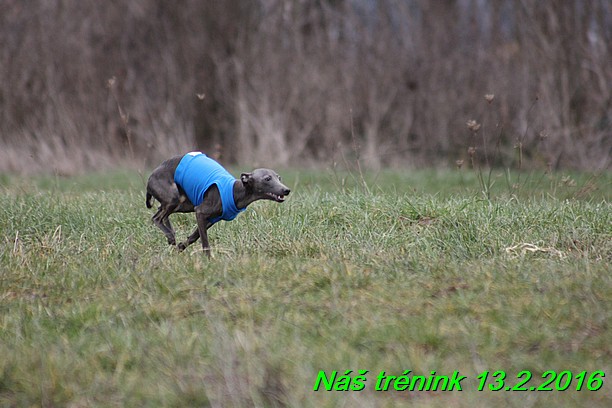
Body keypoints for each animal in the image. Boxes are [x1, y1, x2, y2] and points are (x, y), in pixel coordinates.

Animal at [145, 153, 290, 255]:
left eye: (279, 178)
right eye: (267, 178)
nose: (286, 190)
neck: (234, 190)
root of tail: (151, 176)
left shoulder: (211, 219)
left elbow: (194, 236)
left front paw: (180, 247)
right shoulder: (200, 211)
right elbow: (205, 242)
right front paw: (208, 261)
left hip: (182, 203)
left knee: (162, 212)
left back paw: (171, 234)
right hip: (174, 199)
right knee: (156, 218)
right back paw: (170, 235)